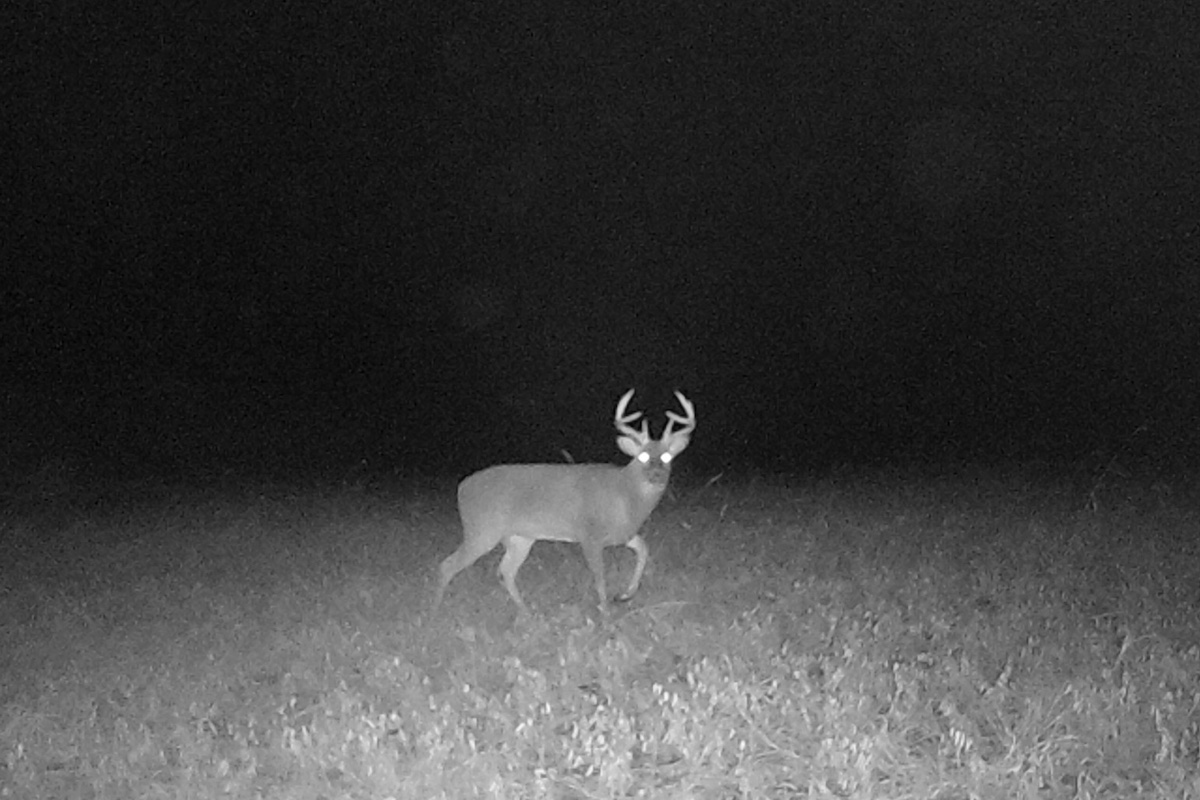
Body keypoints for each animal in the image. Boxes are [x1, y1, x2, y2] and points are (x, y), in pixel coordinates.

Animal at [432, 389, 696, 616]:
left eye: (667, 456)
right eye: (642, 456)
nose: (657, 475)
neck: (625, 496)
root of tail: (462, 488)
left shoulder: (623, 533)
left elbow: (644, 549)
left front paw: (625, 595)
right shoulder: (589, 534)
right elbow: (599, 575)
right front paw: (606, 612)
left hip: (519, 537)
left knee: (504, 570)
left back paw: (527, 613)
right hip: (482, 530)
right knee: (447, 565)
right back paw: (435, 610)